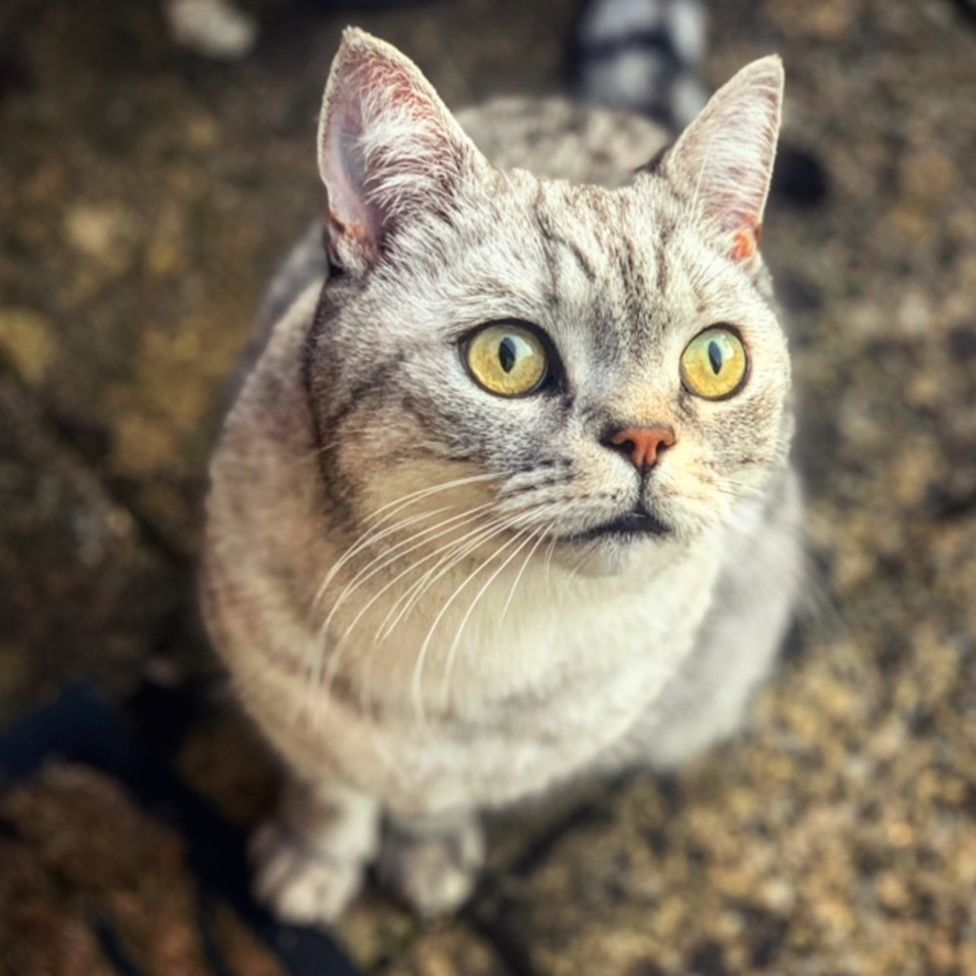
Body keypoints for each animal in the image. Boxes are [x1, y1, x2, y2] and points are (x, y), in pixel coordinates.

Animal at [202, 24, 804, 924]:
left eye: (715, 360)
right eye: (509, 357)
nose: (646, 440)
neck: (473, 624)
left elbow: (440, 799)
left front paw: (426, 851)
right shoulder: (284, 696)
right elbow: (331, 788)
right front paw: (315, 859)